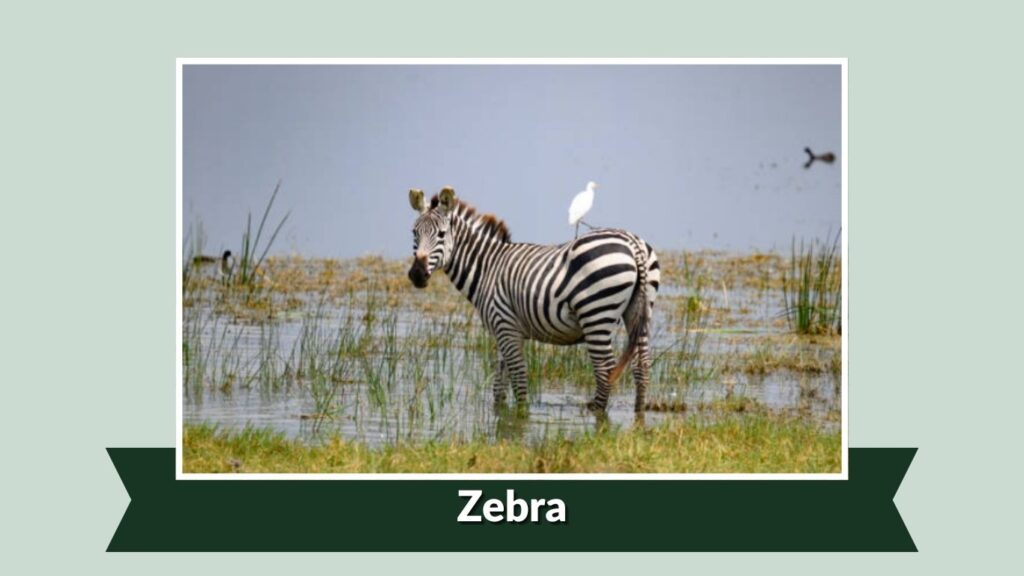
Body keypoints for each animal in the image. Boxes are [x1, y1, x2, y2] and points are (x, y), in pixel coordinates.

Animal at [407, 186, 660, 412]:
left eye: (441, 234)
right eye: (414, 233)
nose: (417, 275)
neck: (488, 268)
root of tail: (632, 243)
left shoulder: (505, 326)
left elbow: (518, 378)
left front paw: (521, 417)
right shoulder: (503, 330)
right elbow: (499, 386)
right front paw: (502, 418)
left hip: (596, 315)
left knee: (605, 370)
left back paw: (596, 415)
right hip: (639, 311)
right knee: (642, 366)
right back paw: (638, 417)